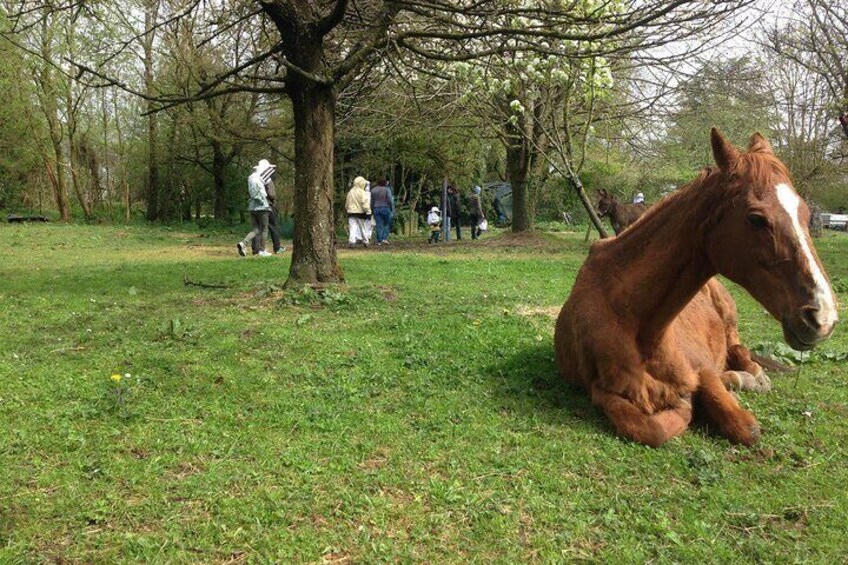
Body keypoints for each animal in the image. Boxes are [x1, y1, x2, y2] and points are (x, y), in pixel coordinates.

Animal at [555, 129, 838, 447]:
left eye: (805, 213)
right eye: (756, 218)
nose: (823, 317)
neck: (635, 322)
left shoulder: (701, 368)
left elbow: (745, 427)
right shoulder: (601, 391)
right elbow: (653, 428)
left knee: (741, 351)